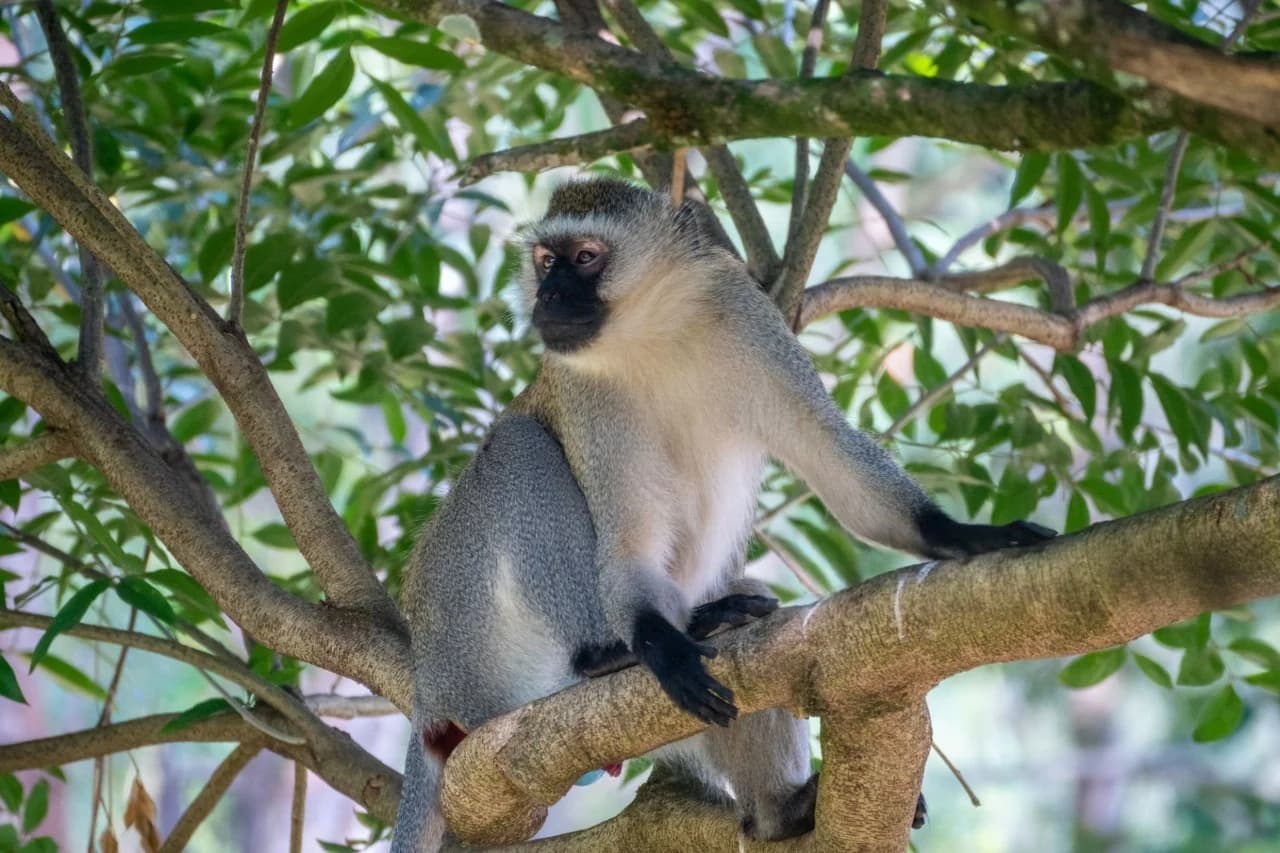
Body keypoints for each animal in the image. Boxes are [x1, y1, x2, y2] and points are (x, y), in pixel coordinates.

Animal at [390, 178, 1054, 852]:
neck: (653, 334)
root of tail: (429, 688)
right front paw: (659, 645)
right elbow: (628, 543)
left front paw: (964, 536)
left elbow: (833, 457)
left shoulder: (748, 321)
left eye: (585, 257)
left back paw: (779, 809)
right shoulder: (583, 391)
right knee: (516, 446)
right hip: (476, 641)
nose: (547, 295)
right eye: (546, 261)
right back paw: (609, 656)